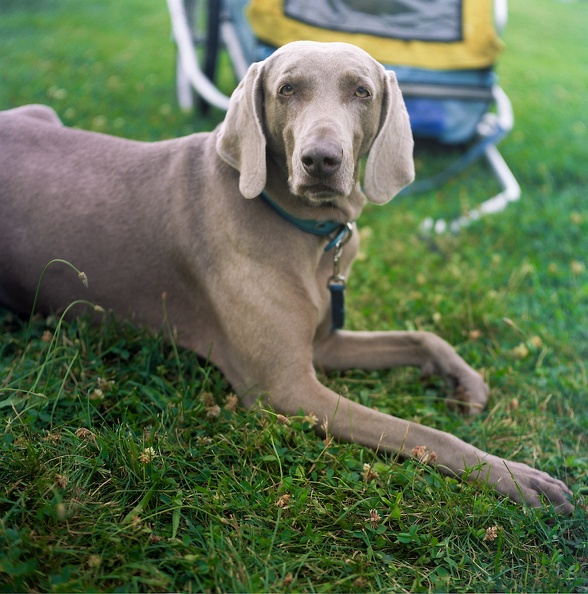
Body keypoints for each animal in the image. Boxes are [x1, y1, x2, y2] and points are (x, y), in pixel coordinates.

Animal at [0, 42, 568, 512]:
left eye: (361, 91)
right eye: (286, 89)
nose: (321, 160)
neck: (307, 234)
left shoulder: (325, 343)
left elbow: (422, 335)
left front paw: (465, 381)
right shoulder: (287, 388)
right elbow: (420, 431)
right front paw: (517, 477)